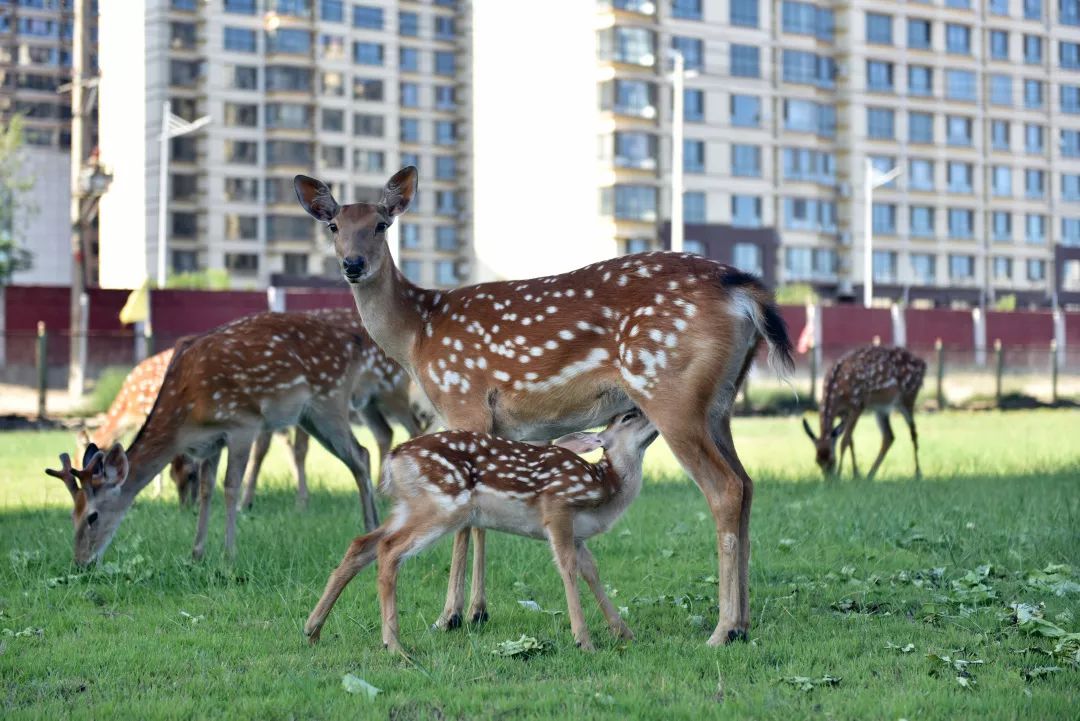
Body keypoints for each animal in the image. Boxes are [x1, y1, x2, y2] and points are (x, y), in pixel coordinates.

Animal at [47, 313, 384, 565]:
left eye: (92, 516)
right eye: (71, 514)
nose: (80, 562)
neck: (187, 417)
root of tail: (355, 344)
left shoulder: (243, 424)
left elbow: (230, 486)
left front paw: (228, 554)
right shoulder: (210, 441)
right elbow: (207, 489)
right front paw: (196, 553)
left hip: (329, 401)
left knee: (360, 453)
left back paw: (370, 527)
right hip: (310, 415)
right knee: (360, 454)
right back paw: (375, 528)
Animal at [302, 407, 656, 651]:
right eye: (629, 416)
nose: (653, 414)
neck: (604, 487)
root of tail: (393, 458)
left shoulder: (578, 533)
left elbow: (592, 571)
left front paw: (624, 632)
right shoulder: (557, 508)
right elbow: (567, 568)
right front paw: (584, 640)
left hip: (409, 506)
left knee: (362, 543)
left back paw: (313, 629)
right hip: (444, 505)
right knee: (389, 549)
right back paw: (394, 645)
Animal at [799, 345, 924, 481]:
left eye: (833, 460)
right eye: (817, 461)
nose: (829, 481)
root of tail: (923, 364)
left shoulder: (857, 405)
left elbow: (844, 441)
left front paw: (840, 474)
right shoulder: (844, 413)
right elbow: (851, 441)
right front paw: (856, 474)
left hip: (908, 396)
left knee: (913, 432)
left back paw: (918, 473)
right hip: (881, 408)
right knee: (889, 436)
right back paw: (870, 475)